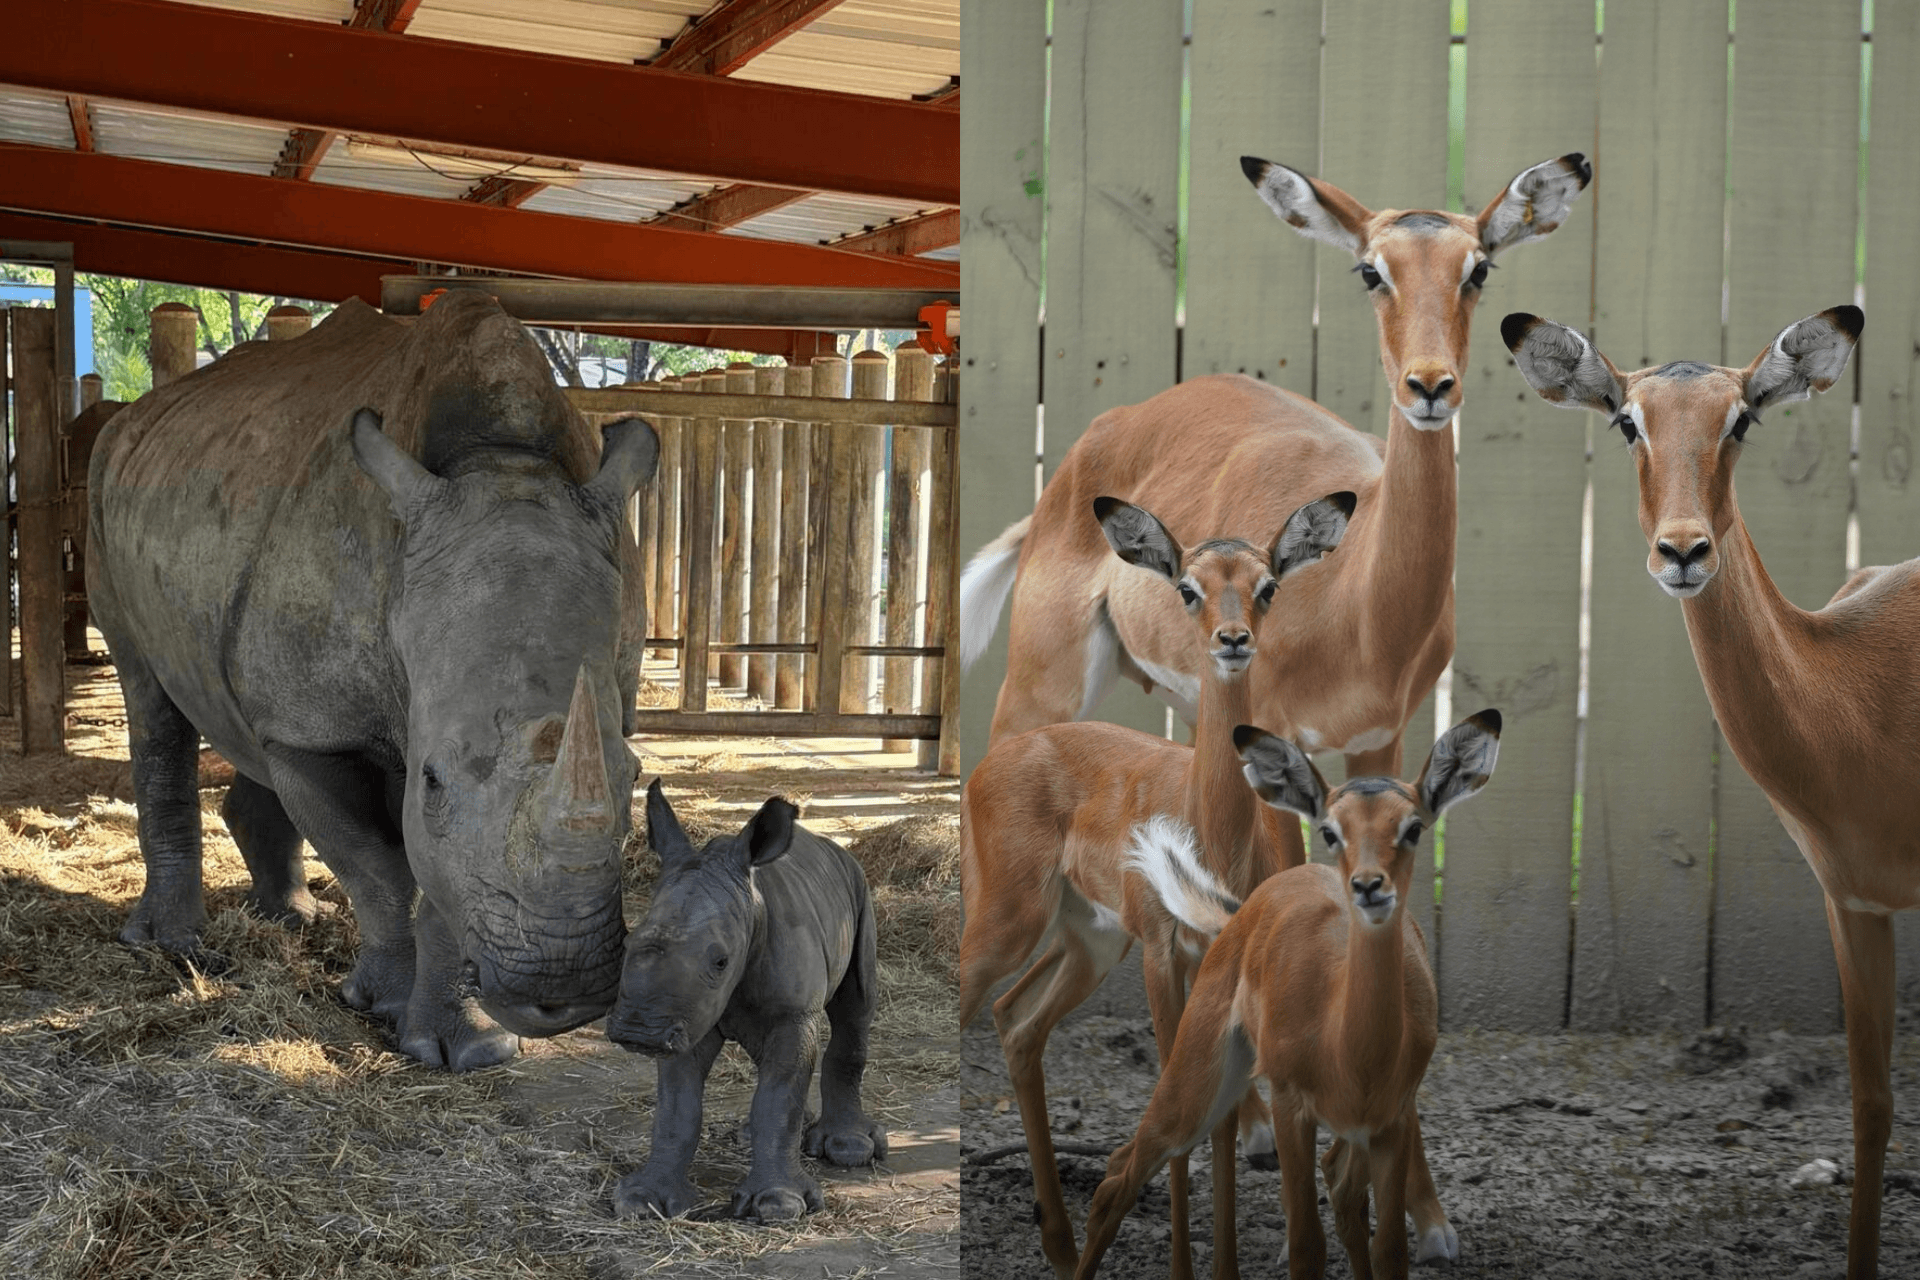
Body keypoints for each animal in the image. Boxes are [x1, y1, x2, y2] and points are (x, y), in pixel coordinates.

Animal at [87, 292, 656, 1070]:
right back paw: (173, 945)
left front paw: (467, 1050)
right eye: (434, 780)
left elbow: (438, 875)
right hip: (103, 498)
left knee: (243, 721)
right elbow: (384, 869)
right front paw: (386, 1008)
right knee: (149, 697)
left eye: (635, 777)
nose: (560, 992)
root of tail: (130, 418)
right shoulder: (316, 735)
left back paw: (290, 919)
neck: (500, 461)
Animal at [607, 781, 887, 1222]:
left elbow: (780, 1094)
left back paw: (850, 1149)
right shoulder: (684, 1014)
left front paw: (776, 1205)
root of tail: (831, 846)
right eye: (627, 942)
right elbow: (678, 1106)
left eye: (721, 961)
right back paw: (750, 1136)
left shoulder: (792, 1014)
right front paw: (641, 1200)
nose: (637, 1032)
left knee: (855, 1010)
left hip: (859, 889)